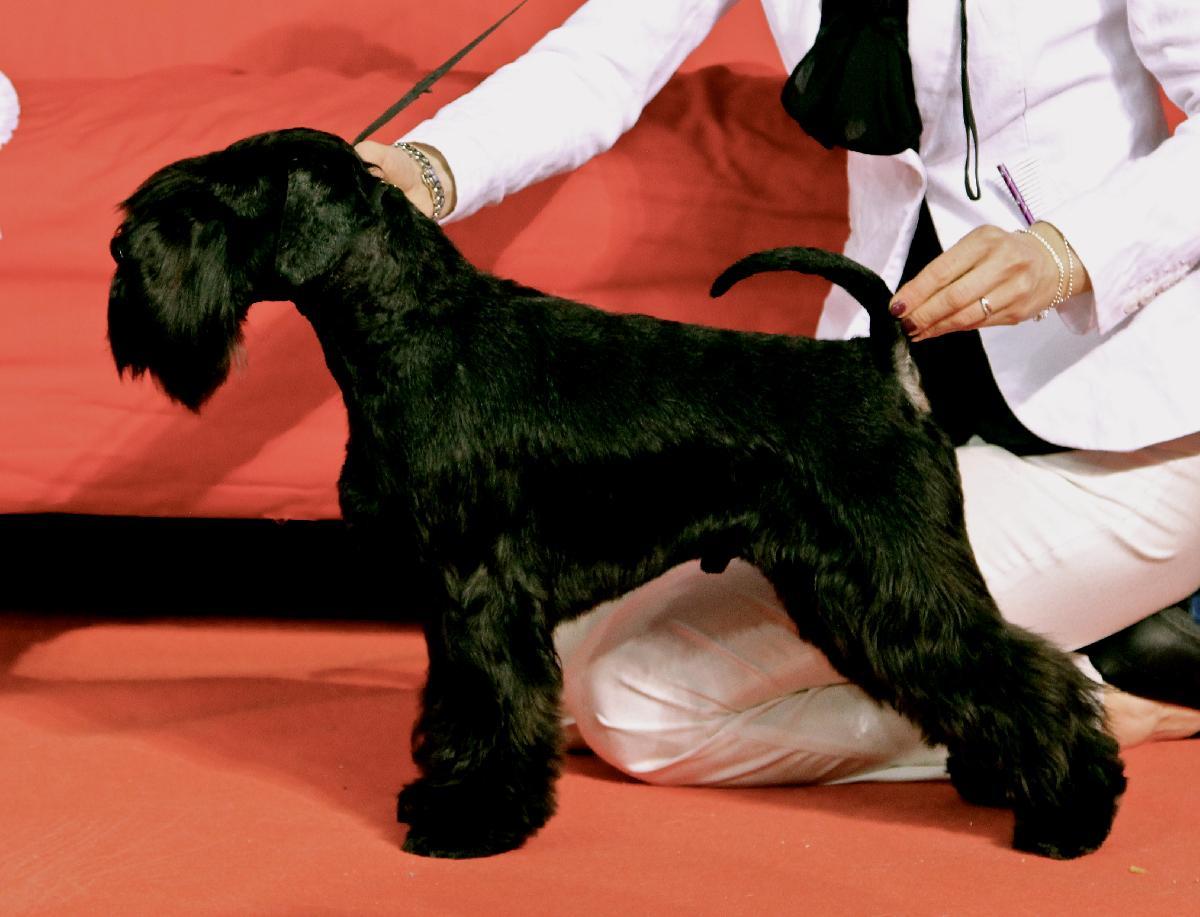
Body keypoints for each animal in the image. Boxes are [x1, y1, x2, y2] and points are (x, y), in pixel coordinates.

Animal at [107, 127, 1125, 860]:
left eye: (215, 200)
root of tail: (880, 361)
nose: (120, 245)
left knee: (1027, 668)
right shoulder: (445, 596)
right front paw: (444, 789)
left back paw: (1071, 813)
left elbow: (494, 700)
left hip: (891, 576)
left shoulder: (482, 589)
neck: (412, 334)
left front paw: (473, 821)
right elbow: (457, 702)